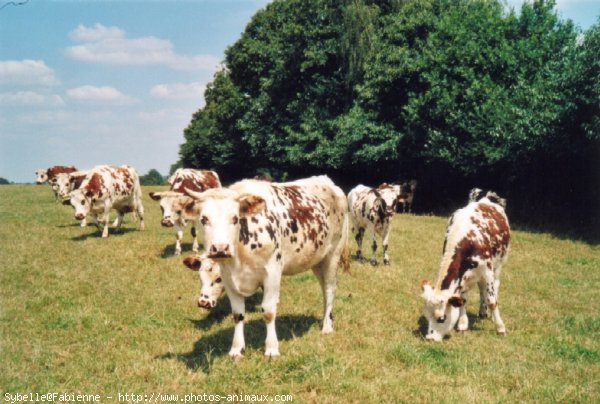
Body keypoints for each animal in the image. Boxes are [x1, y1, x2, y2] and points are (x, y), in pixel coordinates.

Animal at [185, 175, 350, 358]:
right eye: (204, 219)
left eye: (235, 218)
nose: (220, 248)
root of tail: (329, 183)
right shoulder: (230, 279)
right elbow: (237, 314)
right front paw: (236, 349)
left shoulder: (272, 273)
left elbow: (269, 311)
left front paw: (271, 348)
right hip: (317, 260)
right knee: (324, 289)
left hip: (332, 255)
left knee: (329, 289)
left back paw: (327, 327)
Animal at [420, 192, 508, 340]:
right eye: (426, 316)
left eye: (442, 319)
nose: (429, 338)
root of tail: (485, 200)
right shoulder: (464, 277)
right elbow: (463, 299)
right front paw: (462, 324)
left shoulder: (487, 270)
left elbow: (492, 301)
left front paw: (500, 328)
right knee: (482, 289)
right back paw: (482, 312)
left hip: (498, 265)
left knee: (495, 287)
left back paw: (492, 316)